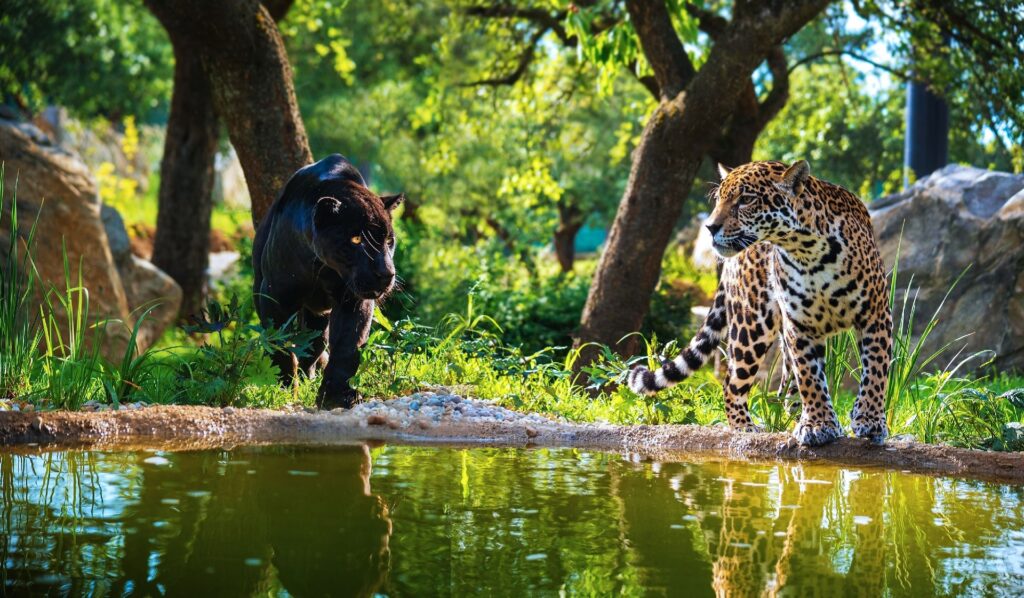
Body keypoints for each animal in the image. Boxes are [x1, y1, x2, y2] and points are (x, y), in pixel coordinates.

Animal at [627, 159, 892, 446]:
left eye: (745, 200)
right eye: (719, 199)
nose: (709, 227)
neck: (808, 253)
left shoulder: (876, 314)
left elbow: (876, 369)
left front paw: (868, 420)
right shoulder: (799, 327)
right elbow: (810, 377)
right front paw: (818, 424)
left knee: (785, 390)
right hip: (751, 326)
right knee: (732, 383)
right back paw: (746, 428)